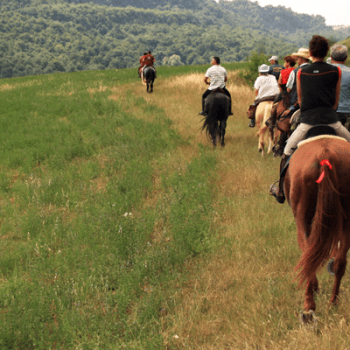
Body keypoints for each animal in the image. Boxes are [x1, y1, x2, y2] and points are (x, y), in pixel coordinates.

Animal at [284, 135, 350, 324]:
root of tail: (324, 155)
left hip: (302, 219)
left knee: (308, 257)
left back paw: (308, 308)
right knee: (340, 262)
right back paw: (333, 302)